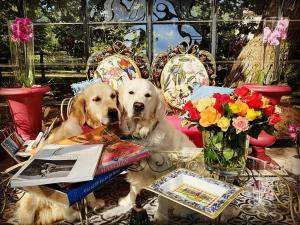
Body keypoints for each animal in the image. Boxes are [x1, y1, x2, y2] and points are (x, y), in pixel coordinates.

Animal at [16, 82, 120, 225]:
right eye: (96, 99)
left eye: (113, 96)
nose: (114, 112)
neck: (89, 130)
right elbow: (88, 193)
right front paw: (94, 204)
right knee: (67, 213)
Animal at [116, 78, 197, 222]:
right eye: (131, 92)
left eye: (148, 95)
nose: (138, 106)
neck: (143, 133)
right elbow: (133, 187)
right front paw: (128, 202)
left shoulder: (164, 170)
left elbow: (162, 196)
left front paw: (160, 216)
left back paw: (181, 210)